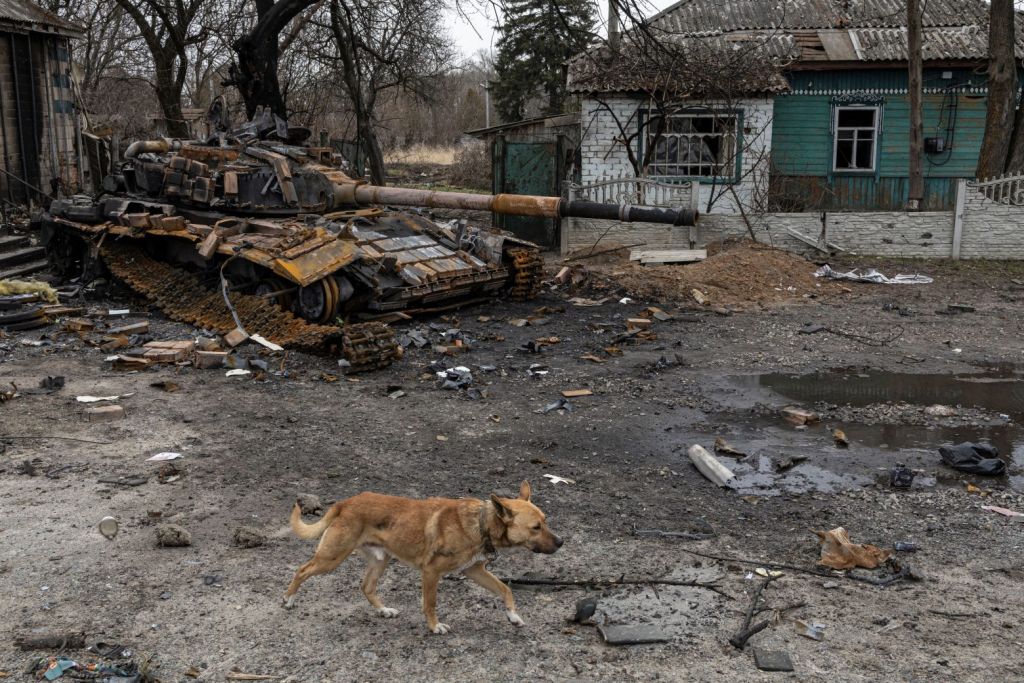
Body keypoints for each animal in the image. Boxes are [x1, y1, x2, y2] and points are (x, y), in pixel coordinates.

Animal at [284, 481, 565, 634]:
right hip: (331, 557)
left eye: (545, 521)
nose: (561, 542)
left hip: (380, 560)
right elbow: (430, 603)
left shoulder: (474, 570)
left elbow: (506, 589)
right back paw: (288, 599)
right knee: (302, 570)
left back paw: (384, 610)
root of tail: (346, 502)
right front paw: (434, 627)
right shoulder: (431, 572)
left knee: (366, 586)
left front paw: (513, 616)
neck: (481, 523)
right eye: (536, 528)